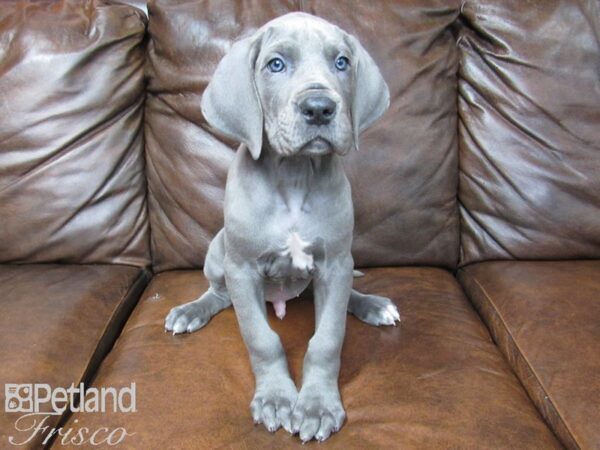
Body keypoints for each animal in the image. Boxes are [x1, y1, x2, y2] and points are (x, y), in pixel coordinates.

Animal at [164, 12, 398, 442]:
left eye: (342, 62)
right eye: (276, 64)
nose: (320, 108)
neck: (294, 173)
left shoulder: (334, 263)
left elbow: (327, 339)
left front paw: (317, 406)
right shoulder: (242, 269)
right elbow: (262, 339)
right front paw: (275, 398)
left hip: (335, 271)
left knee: (341, 295)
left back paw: (372, 305)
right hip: (218, 251)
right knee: (219, 295)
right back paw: (191, 311)